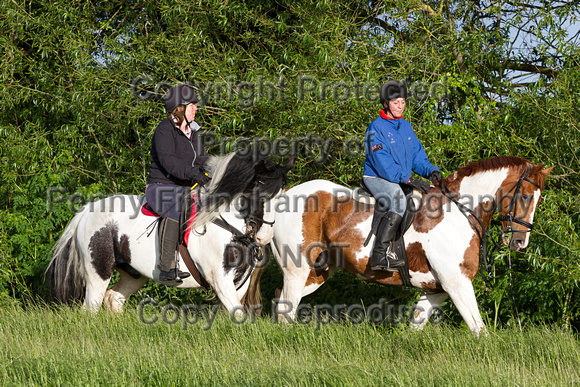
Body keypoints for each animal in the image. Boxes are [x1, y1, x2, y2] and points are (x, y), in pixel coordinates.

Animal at [272, 157, 552, 336]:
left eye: (538, 199)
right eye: (525, 195)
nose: (520, 242)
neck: (459, 211)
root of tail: (286, 197)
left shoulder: (435, 289)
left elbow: (415, 327)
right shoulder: (457, 283)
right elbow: (479, 329)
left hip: (318, 273)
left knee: (281, 301)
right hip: (297, 270)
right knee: (287, 309)